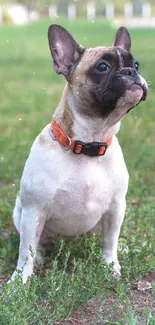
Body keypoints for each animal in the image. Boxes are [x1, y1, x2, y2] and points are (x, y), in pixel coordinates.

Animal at [9, 24, 148, 280]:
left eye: (136, 64)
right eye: (102, 67)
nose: (131, 72)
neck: (89, 143)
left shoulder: (116, 207)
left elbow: (110, 240)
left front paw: (110, 266)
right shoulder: (33, 211)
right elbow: (26, 251)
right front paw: (20, 280)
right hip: (20, 213)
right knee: (34, 243)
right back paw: (40, 257)